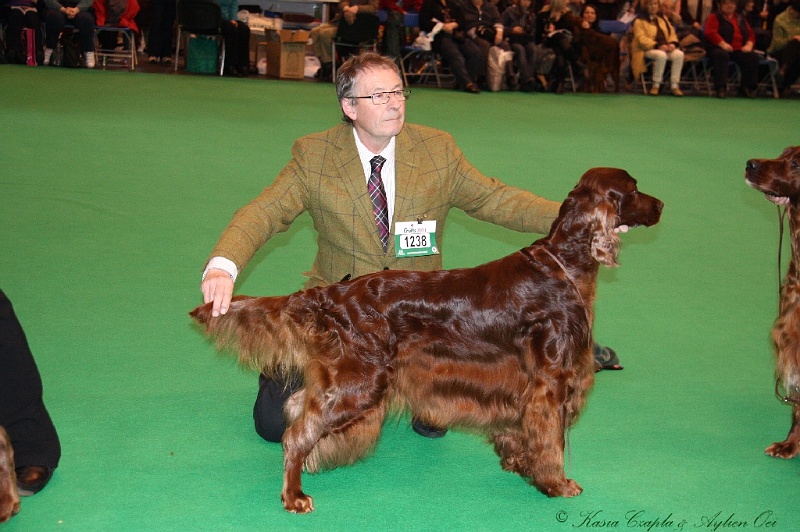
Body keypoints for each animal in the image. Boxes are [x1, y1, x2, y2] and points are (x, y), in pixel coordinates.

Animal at [192, 168, 664, 512]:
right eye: (634, 189)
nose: (662, 204)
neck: (563, 264)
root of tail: (332, 295)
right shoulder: (552, 382)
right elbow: (553, 441)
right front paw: (557, 483)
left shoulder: (524, 387)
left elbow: (523, 433)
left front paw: (517, 463)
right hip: (361, 382)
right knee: (295, 432)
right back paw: (294, 496)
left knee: (296, 408)